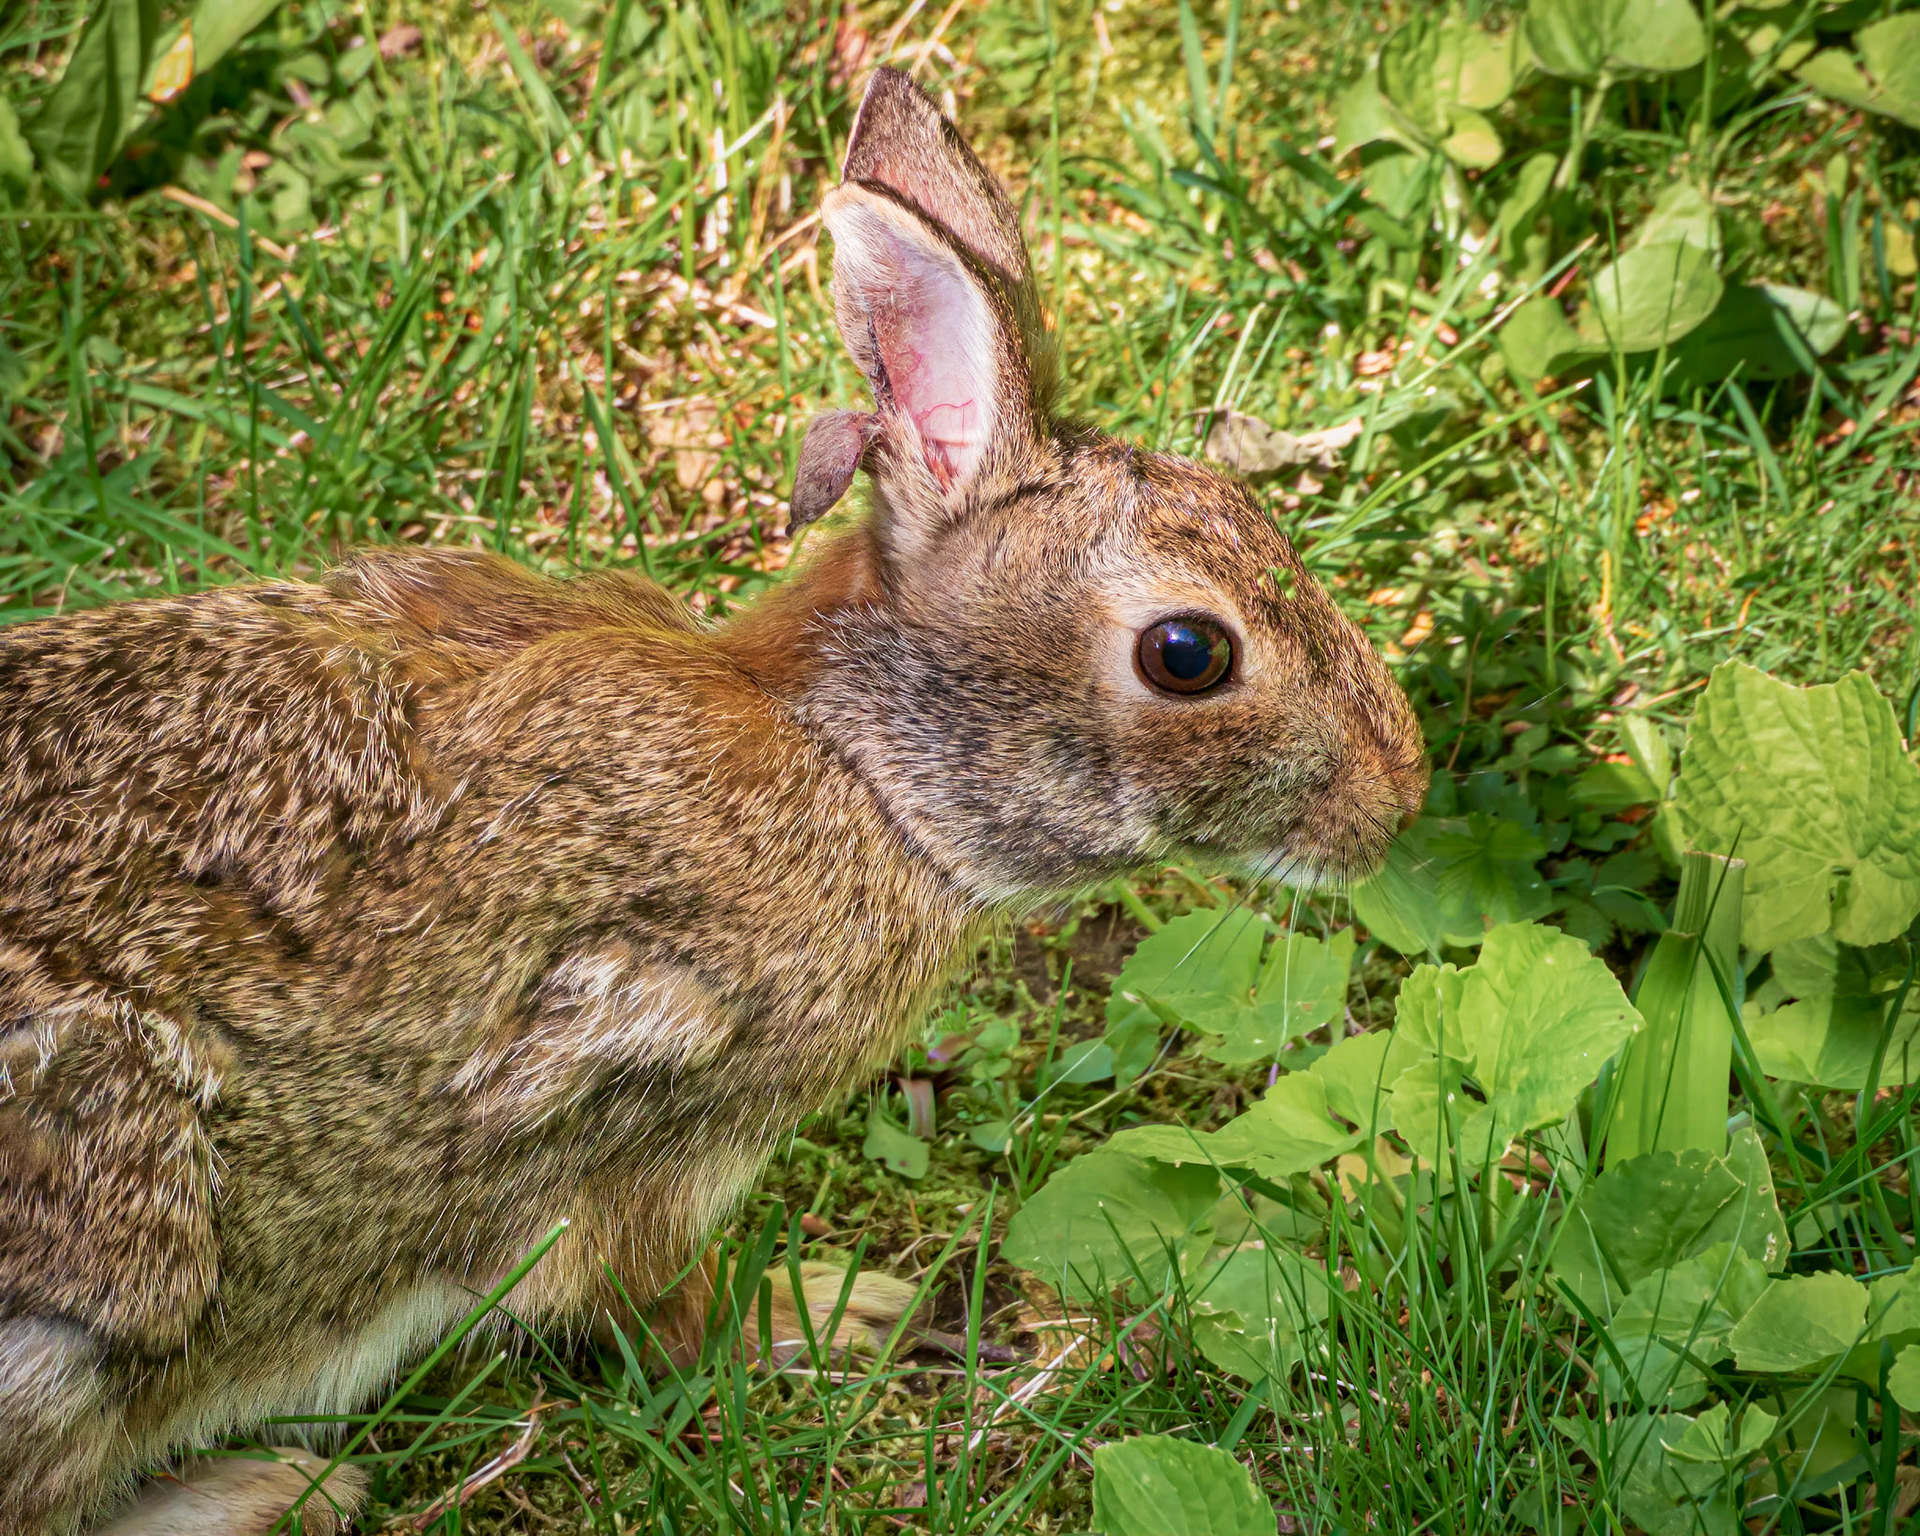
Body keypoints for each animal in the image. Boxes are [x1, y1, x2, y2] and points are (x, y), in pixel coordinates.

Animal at [0, 65, 1427, 1535]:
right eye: (1188, 654)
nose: (1398, 795)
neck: (860, 772)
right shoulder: (649, 1144)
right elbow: (669, 1314)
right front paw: (837, 1313)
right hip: (111, 1262)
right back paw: (277, 1486)